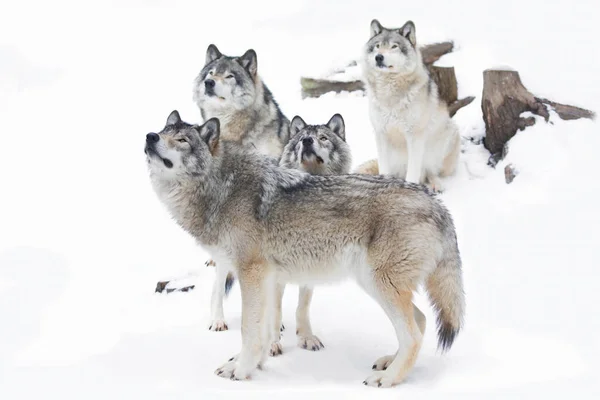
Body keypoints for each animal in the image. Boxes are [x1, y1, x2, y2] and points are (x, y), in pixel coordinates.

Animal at [144, 110, 464, 388]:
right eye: (163, 132)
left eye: (182, 140)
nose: (149, 136)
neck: (222, 187)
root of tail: (437, 204)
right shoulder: (268, 280)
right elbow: (267, 328)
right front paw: (255, 364)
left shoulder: (252, 274)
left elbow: (249, 329)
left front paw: (242, 370)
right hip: (375, 284)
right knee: (421, 320)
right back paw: (390, 362)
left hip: (379, 284)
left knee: (413, 335)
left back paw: (388, 379)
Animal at [358, 19, 462, 191]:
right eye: (378, 46)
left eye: (394, 46)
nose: (379, 57)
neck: (389, 94)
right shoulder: (381, 133)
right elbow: (384, 169)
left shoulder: (414, 136)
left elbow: (413, 173)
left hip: (447, 136)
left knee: (430, 171)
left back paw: (436, 184)